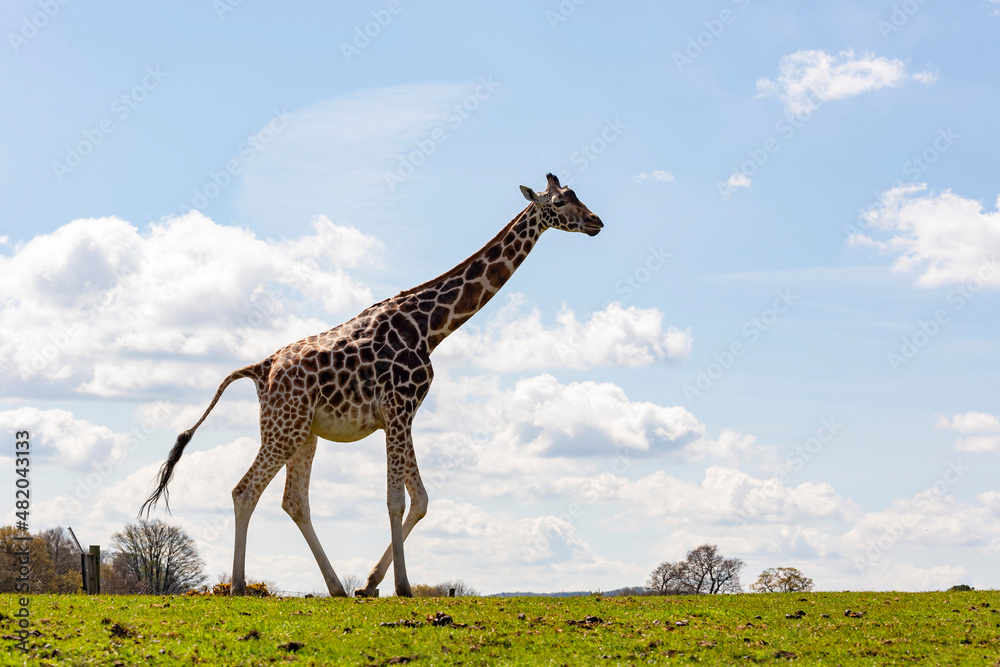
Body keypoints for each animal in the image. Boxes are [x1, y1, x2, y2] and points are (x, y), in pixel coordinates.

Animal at [140, 173, 604, 597]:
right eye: (560, 202)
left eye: (577, 194)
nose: (597, 221)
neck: (430, 328)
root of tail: (261, 368)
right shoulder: (398, 409)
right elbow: (396, 499)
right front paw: (402, 586)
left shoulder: (404, 414)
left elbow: (420, 499)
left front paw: (370, 583)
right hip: (283, 429)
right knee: (245, 490)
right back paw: (238, 586)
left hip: (304, 433)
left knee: (293, 500)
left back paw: (335, 587)